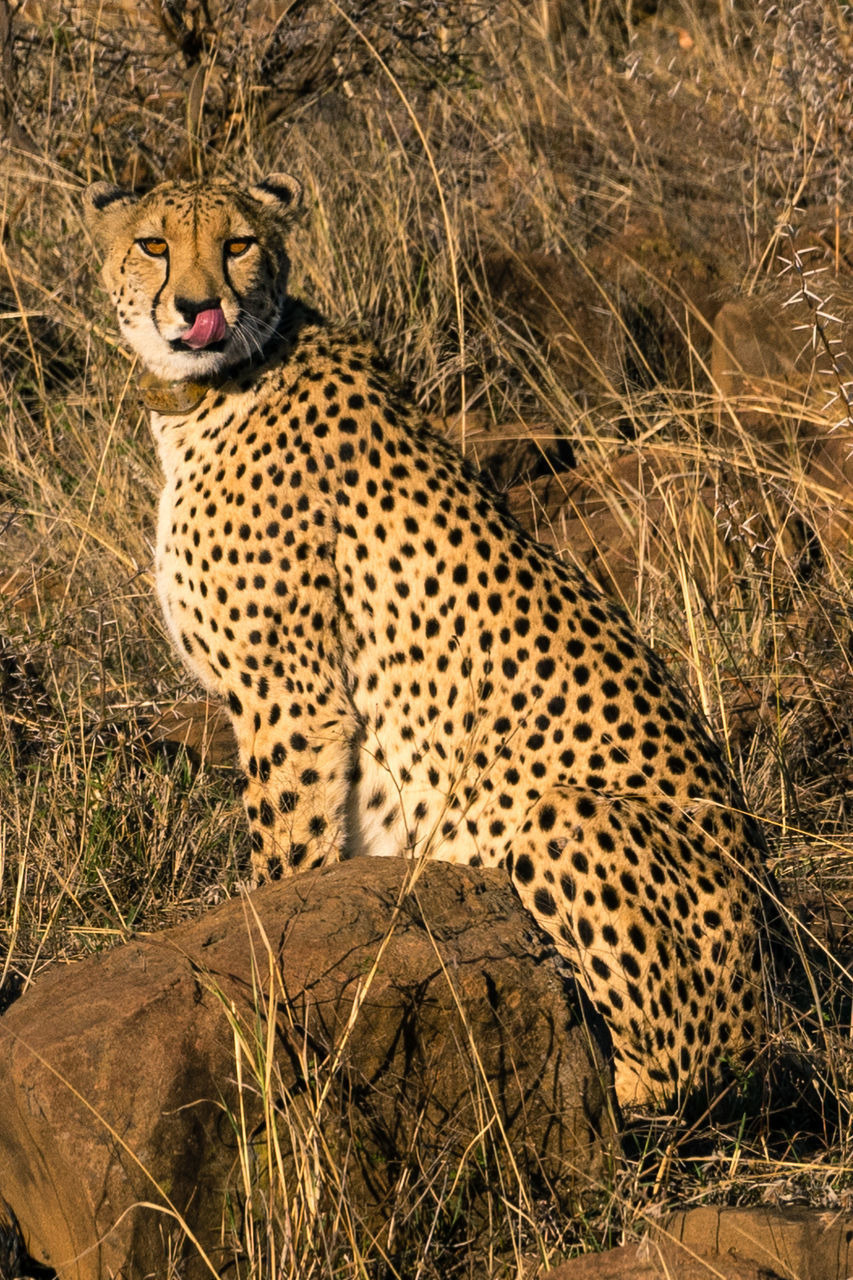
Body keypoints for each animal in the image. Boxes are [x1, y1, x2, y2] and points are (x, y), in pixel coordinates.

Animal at [84, 172, 778, 1111]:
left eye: (238, 244)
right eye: (153, 245)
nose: (198, 308)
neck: (220, 385)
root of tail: (769, 1000)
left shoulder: (291, 702)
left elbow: (283, 864)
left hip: (564, 815)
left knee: (674, 1075)